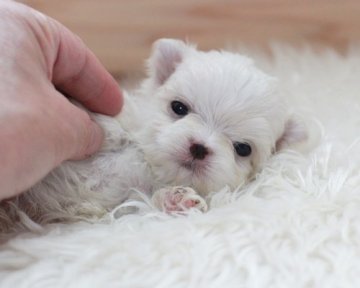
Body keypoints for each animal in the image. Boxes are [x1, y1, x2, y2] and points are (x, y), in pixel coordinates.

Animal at [1, 39, 308, 231]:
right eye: (179, 108)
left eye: (243, 149)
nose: (199, 147)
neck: (149, 167)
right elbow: (116, 118)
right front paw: (107, 127)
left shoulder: (125, 204)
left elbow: (144, 203)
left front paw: (178, 200)